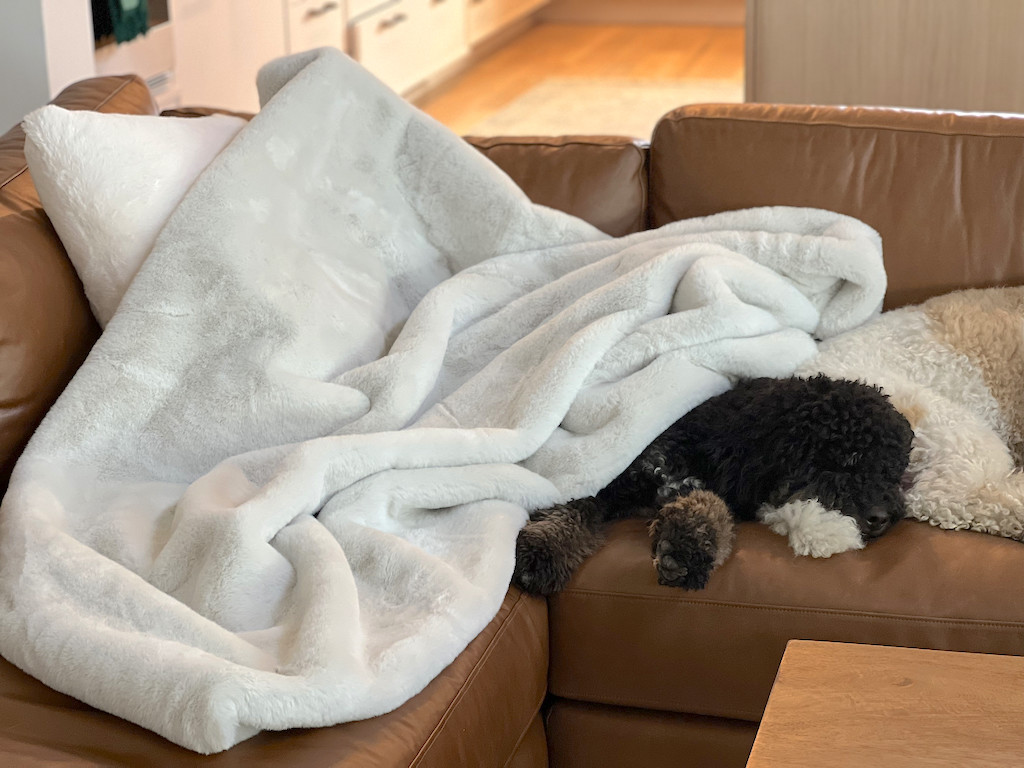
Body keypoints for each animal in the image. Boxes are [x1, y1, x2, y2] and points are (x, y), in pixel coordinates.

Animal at [512, 376, 913, 598]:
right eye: (836, 463)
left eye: (890, 469)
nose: (881, 517)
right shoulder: (611, 471)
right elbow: (572, 506)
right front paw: (540, 552)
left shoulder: (711, 487)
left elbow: (706, 505)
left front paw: (685, 547)